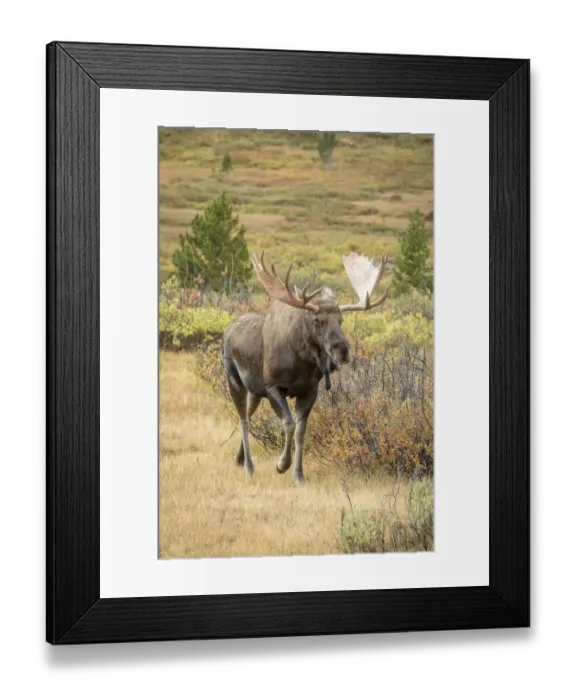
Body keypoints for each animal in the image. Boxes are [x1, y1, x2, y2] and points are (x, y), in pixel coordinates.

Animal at [221, 251, 390, 484]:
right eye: (317, 320)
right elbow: (289, 424)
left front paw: (298, 475)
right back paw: (249, 466)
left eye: (341, 319)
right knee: (243, 419)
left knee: (248, 414)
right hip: (235, 380)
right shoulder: (273, 387)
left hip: (255, 391)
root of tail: (227, 330)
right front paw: (282, 464)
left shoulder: (309, 391)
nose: (343, 350)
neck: (302, 363)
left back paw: (239, 459)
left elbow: (301, 431)